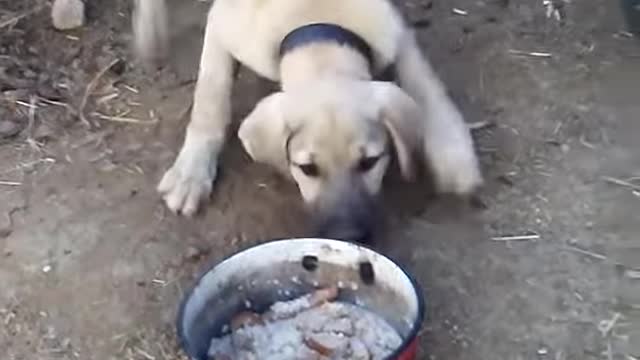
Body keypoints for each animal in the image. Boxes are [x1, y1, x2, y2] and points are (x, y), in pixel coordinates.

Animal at [136, 0, 484, 243]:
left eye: (370, 162)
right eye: (307, 169)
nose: (348, 237)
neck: (315, 22)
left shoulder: (395, 34)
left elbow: (425, 86)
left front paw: (452, 151)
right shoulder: (222, 27)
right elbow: (211, 99)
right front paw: (191, 173)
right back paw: (150, 33)